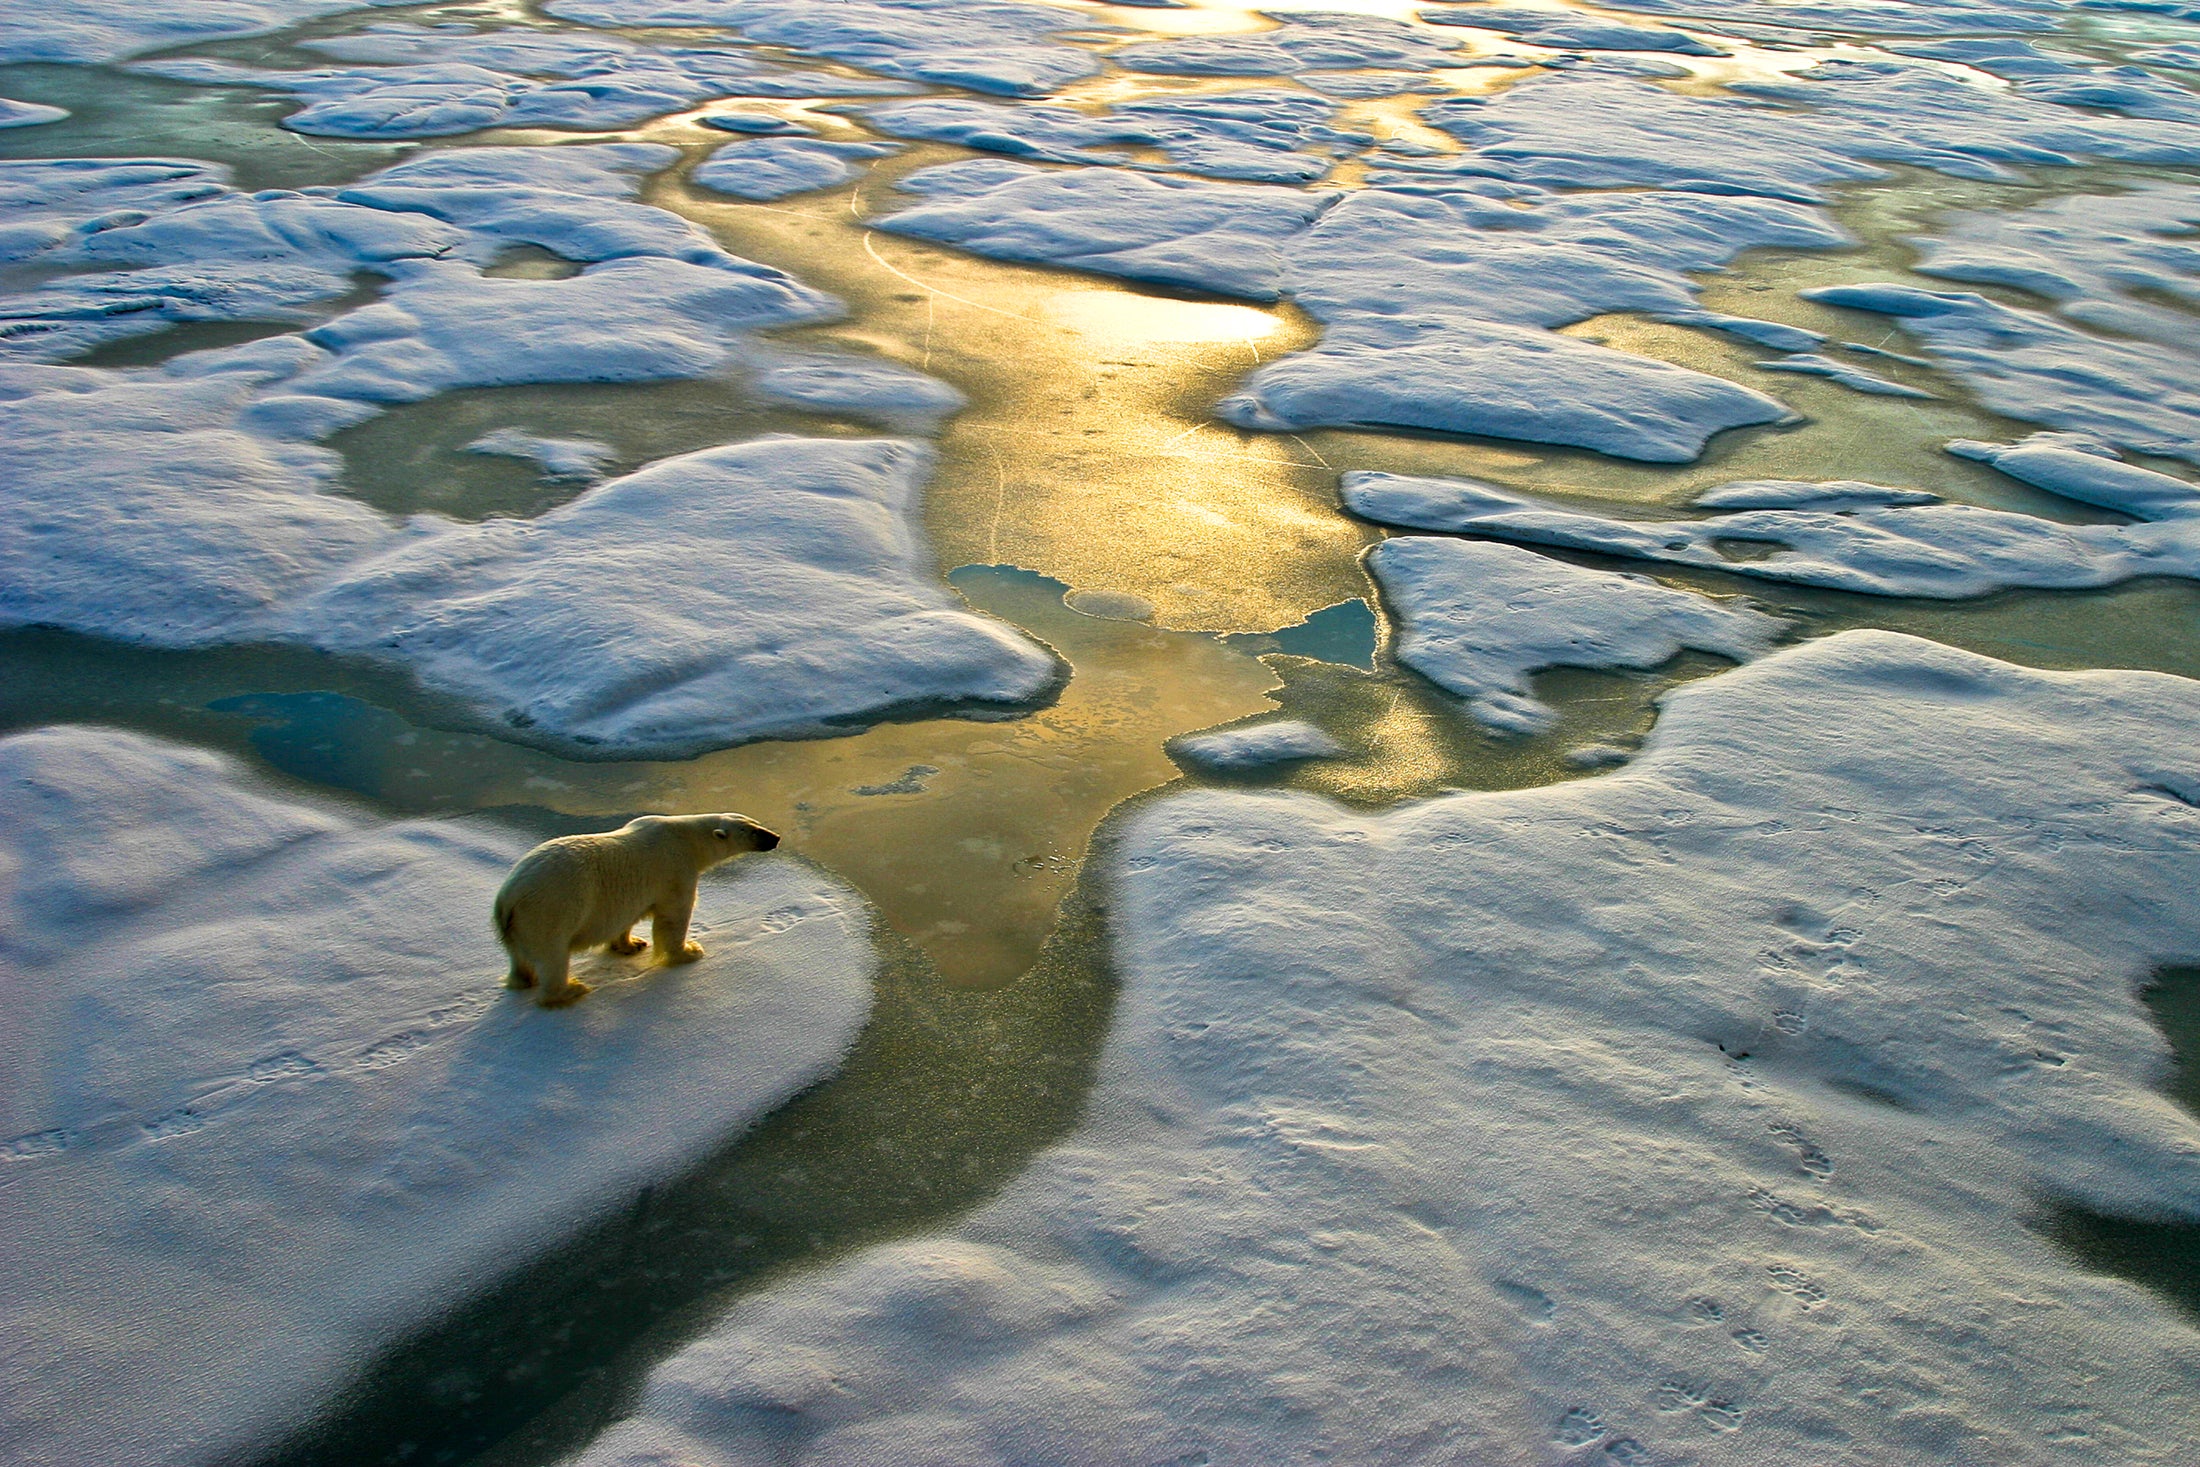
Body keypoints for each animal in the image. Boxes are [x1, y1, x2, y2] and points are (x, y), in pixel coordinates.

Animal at [497, 813, 783, 1011]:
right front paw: (689, 951)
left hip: (517, 926)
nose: (776, 837)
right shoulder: (675, 869)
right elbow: (674, 916)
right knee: (553, 956)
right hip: (549, 910)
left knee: (519, 958)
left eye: (756, 822)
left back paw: (524, 980)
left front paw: (631, 944)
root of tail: (507, 898)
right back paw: (571, 990)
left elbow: (627, 917)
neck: (686, 838)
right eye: (753, 831)